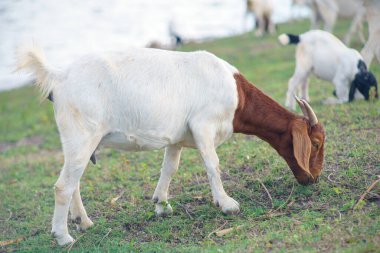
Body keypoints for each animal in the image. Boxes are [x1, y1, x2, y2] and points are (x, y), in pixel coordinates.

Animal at [18, 45, 326, 245]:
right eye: (316, 142)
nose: (312, 179)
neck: (237, 96)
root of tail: (59, 77)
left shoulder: (177, 137)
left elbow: (170, 167)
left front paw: (161, 204)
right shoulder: (203, 124)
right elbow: (212, 164)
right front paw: (227, 204)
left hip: (78, 140)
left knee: (75, 182)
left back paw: (83, 222)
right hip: (82, 134)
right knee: (63, 186)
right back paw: (63, 236)